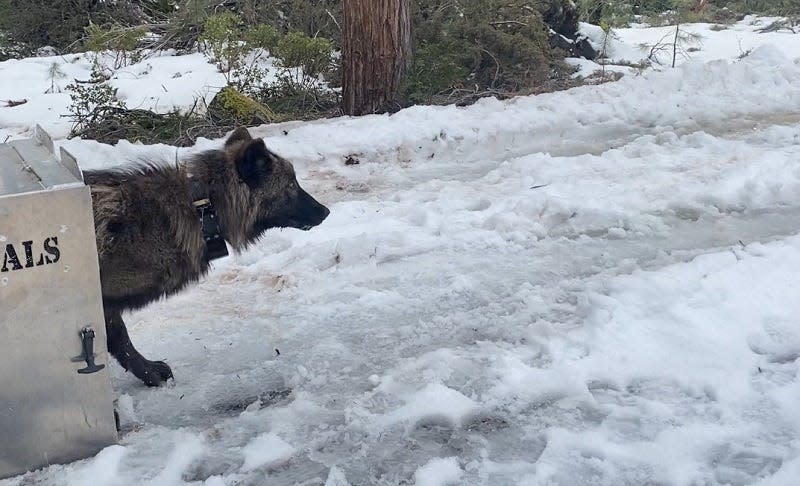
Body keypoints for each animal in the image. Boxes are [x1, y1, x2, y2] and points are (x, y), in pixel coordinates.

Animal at [83, 128, 328, 388]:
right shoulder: (102, 302)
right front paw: (149, 372)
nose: (326, 211)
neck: (201, 210)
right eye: (291, 185)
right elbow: (121, 340)